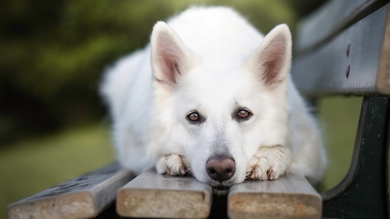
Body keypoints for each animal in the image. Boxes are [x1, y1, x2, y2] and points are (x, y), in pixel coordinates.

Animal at [100, 6, 326, 189]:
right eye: (193, 116)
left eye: (243, 113)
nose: (220, 169)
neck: (219, 57)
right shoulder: (132, 146)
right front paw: (169, 158)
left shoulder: (312, 146)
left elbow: (291, 146)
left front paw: (268, 157)